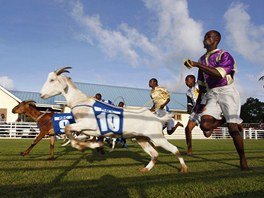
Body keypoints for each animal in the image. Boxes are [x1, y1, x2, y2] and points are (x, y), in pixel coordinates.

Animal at [40, 67, 187, 172]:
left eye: (52, 80)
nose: (41, 94)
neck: (82, 102)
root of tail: (156, 117)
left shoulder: (89, 125)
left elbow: (68, 128)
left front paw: (85, 146)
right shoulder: (88, 130)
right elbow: (75, 135)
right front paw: (93, 145)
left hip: (157, 136)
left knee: (174, 149)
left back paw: (183, 168)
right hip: (142, 139)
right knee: (155, 154)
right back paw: (145, 169)